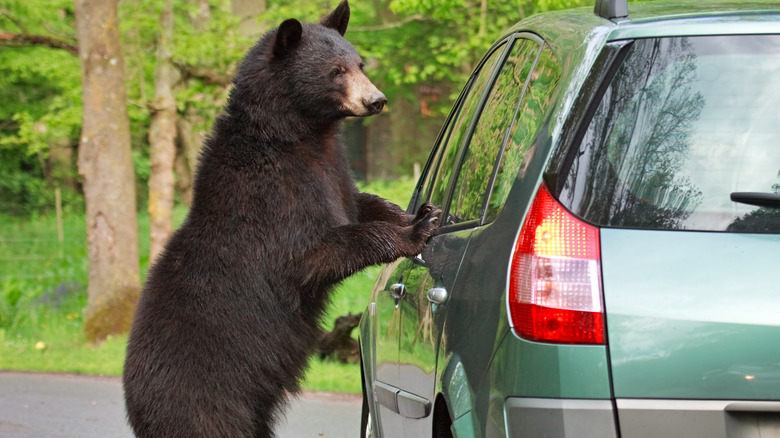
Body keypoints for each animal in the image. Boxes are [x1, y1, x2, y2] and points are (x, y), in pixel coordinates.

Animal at [122, 2, 441, 437]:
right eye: (335, 71)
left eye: (359, 63)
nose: (376, 100)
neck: (299, 134)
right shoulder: (272, 195)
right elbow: (314, 251)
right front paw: (415, 231)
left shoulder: (334, 170)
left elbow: (361, 202)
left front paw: (421, 212)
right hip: (204, 398)